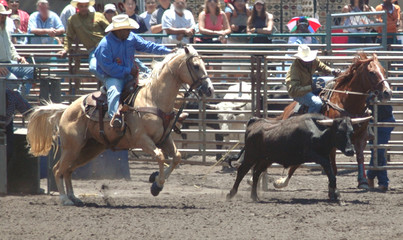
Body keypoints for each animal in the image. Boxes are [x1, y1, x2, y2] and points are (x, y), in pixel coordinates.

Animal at [26, 47, 216, 206]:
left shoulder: (164, 139)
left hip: (89, 149)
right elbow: (160, 156)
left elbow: (176, 157)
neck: (152, 98)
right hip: (72, 147)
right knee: (58, 169)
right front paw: (156, 185)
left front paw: (154, 179)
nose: (209, 90)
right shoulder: (142, 140)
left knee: (68, 170)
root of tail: (66, 109)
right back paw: (65, 199)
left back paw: (74, 197)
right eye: (196, 66)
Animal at [274, 53, 394, 190]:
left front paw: (362, 181)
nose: (388, 92)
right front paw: (332, 183)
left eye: (383, 70)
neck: (347, 102)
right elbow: (333, 164)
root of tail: (286, 111)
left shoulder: (361, 137)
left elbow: (360, 157)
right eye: (372, 72)